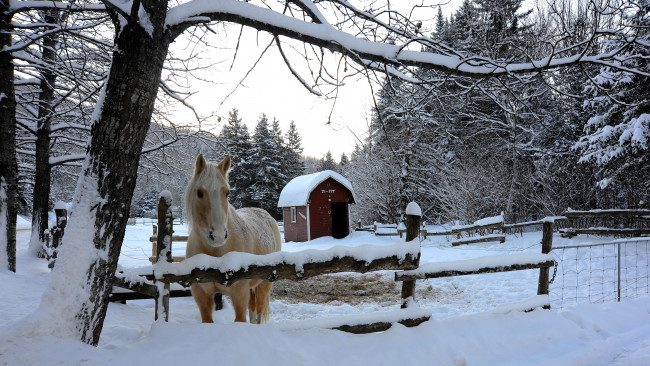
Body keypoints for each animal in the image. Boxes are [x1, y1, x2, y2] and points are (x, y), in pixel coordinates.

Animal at [185, 154, 280, 324]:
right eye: (200, 192)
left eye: (227, 193)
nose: (218, 236)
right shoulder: (202, 296)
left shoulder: (239, 295)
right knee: (253, 309)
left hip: (264, 283)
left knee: (259, 311)